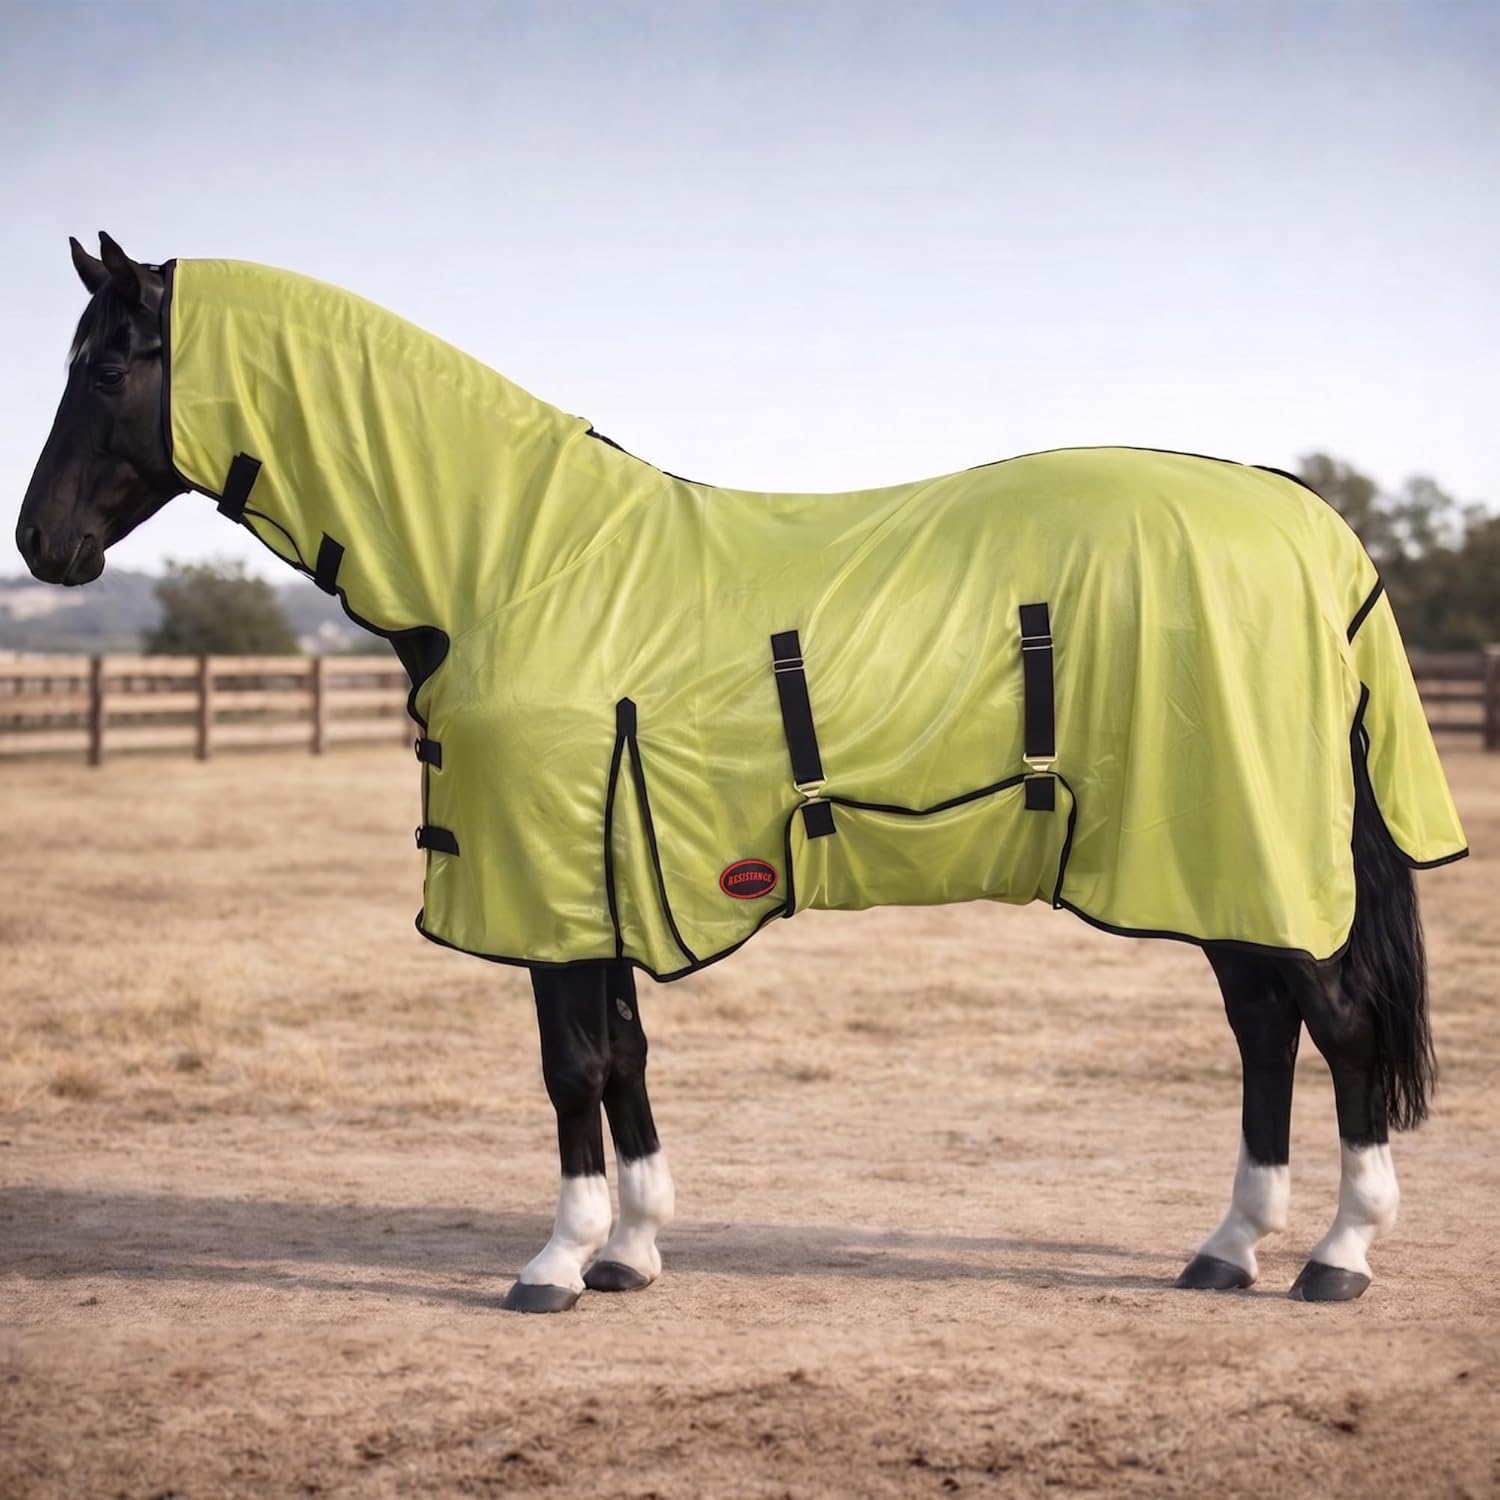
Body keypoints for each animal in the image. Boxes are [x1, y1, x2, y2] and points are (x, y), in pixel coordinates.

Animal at [16, 233, 1466, 1312]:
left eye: (110, 363)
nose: (42, 545)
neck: (515, 561)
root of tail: (1311, 525)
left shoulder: (552, 877)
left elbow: (572, 1067)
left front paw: (556, 1263)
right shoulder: (595, 874)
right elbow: (624, 1057)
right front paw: (631, 1250)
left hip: (1249, 851)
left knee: (1336, 1027)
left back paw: (1338, 1256)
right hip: (1214, 862)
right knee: (1267, 1031)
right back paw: (1229, 1248)